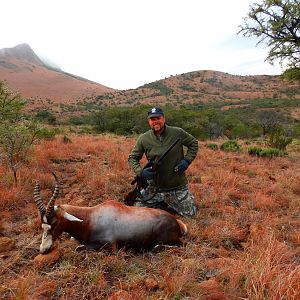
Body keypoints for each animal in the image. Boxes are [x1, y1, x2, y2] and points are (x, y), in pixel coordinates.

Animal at [33, 178, 188, 253]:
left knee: (180, 245)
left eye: (55, 223)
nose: (43, 250)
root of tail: (176, 221)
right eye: (42, 224)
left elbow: (78, 248)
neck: (91, 217)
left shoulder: (109, 245)